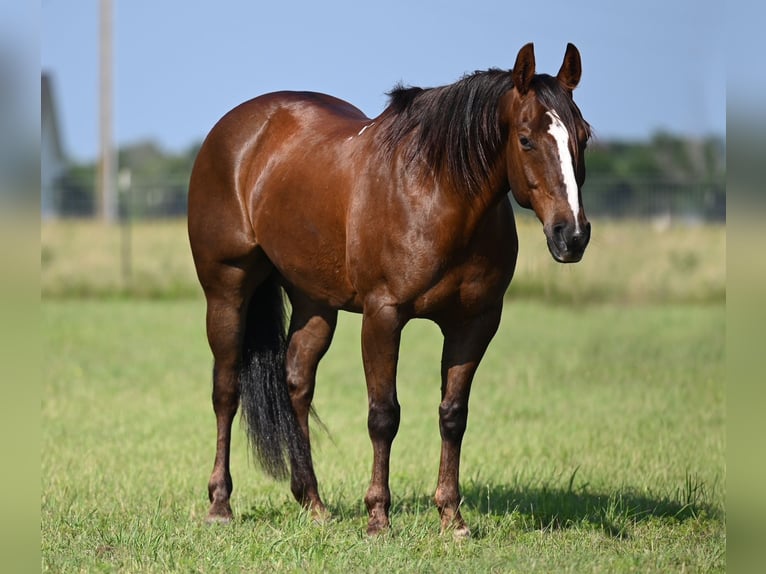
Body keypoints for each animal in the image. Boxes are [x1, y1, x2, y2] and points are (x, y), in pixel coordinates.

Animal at [188, 41, 592, 540]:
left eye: (584, 136)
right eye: (526, 139)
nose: (572, 236)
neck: (438, 195)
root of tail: (235, 128)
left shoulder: (475, 323)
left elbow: (452, 414)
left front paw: (452, 516)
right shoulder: (383, 316)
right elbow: (384, 415)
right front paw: (378, 517)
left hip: (314, 301)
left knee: (297, 383)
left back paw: (313, 502)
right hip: (226, 289)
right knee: (226, 390)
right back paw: (220, 504)